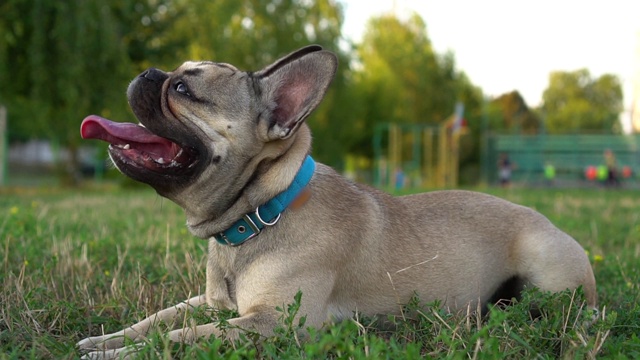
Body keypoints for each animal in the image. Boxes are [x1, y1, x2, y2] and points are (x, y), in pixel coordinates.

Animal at [79, 45, 596, 358]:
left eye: (184, 89)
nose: (148, 72)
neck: (260, 212)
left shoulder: (276, 322)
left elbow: (183, 336)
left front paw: (121, 354)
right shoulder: (211, 303)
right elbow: (160, 318)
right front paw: (105, 339)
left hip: (545, 266)